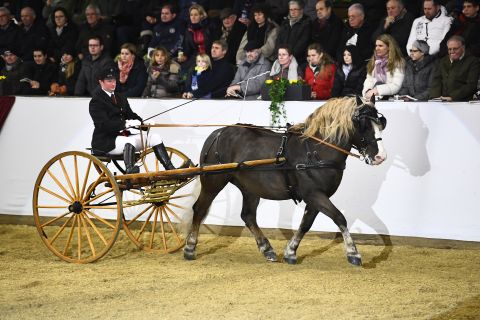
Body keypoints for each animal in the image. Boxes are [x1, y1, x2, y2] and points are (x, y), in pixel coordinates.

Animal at [183, 96, 386, 266]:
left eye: (381, 123)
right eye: (363, 125)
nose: (380, 157)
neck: (315, 150)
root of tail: (218, 132)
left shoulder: (316, 197)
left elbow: (305, 224)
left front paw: (290, 252)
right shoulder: (314, 194)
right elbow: (339, 217)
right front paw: (353, 253)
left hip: (250, 187)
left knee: (248, 216)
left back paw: (267, 249)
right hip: (213, 181)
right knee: (199, 209)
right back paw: (190, 247)